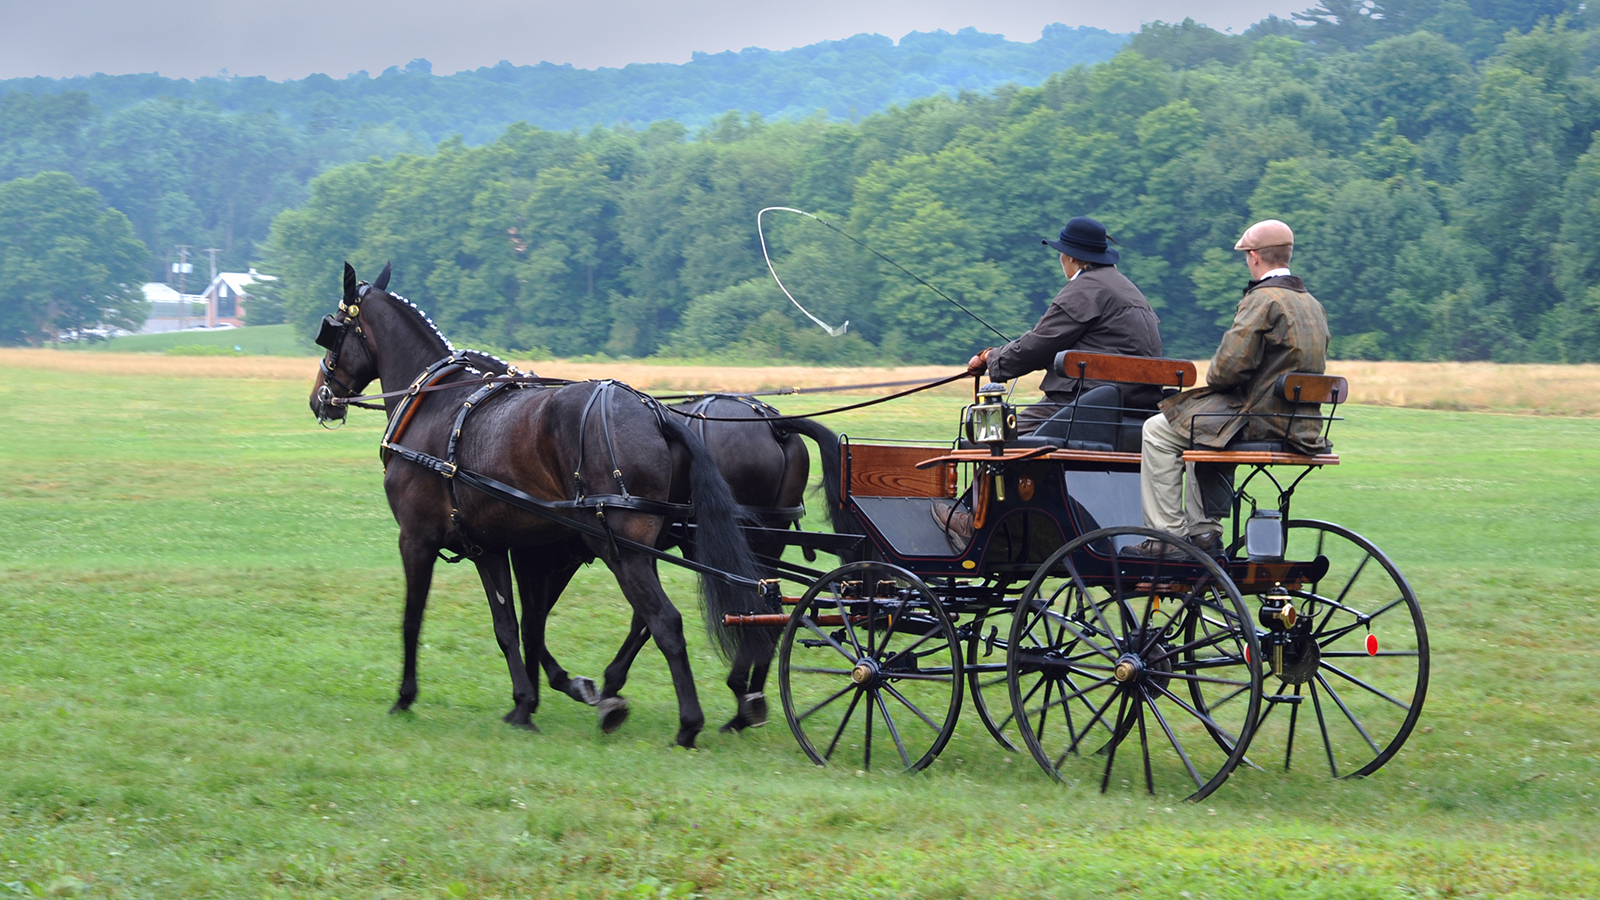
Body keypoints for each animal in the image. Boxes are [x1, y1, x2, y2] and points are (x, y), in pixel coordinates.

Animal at [309, 262, 772, 747]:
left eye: (332, 331)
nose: (319, 397)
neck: (435, 403)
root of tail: (658, 413)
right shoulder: (491, 547)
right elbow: (510, 627)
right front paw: (524, 704)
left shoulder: (416, 539)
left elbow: (413, 618)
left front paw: (404, 697)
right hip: (643, 547)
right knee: (651, 619)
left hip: (619, 550)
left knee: (665, 622)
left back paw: (687, 723)